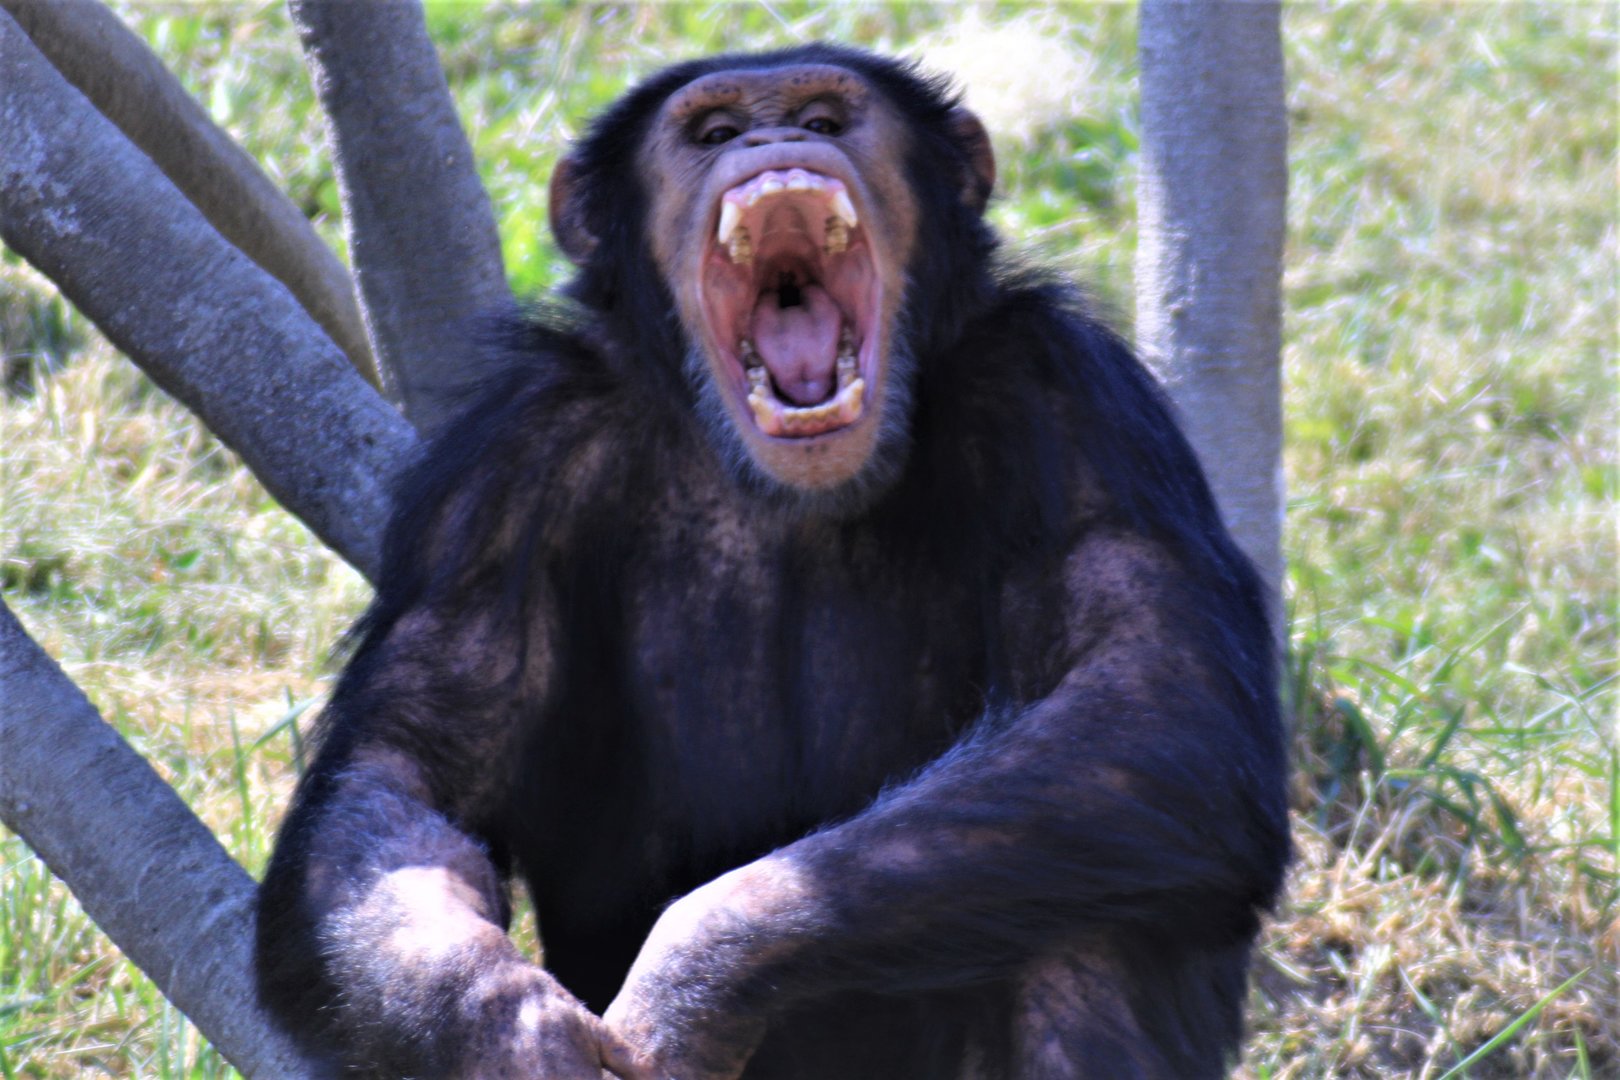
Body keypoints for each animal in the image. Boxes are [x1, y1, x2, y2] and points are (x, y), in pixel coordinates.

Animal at [256, 43, 1289, 1079]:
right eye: (712, 132)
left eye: (827, 119)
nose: (771, 138)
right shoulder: (501, 477)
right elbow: (404, 773)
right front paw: (504, 1025)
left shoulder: (1076, 403)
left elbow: (1150, 696)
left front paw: (697, 973)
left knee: (1083, 928)